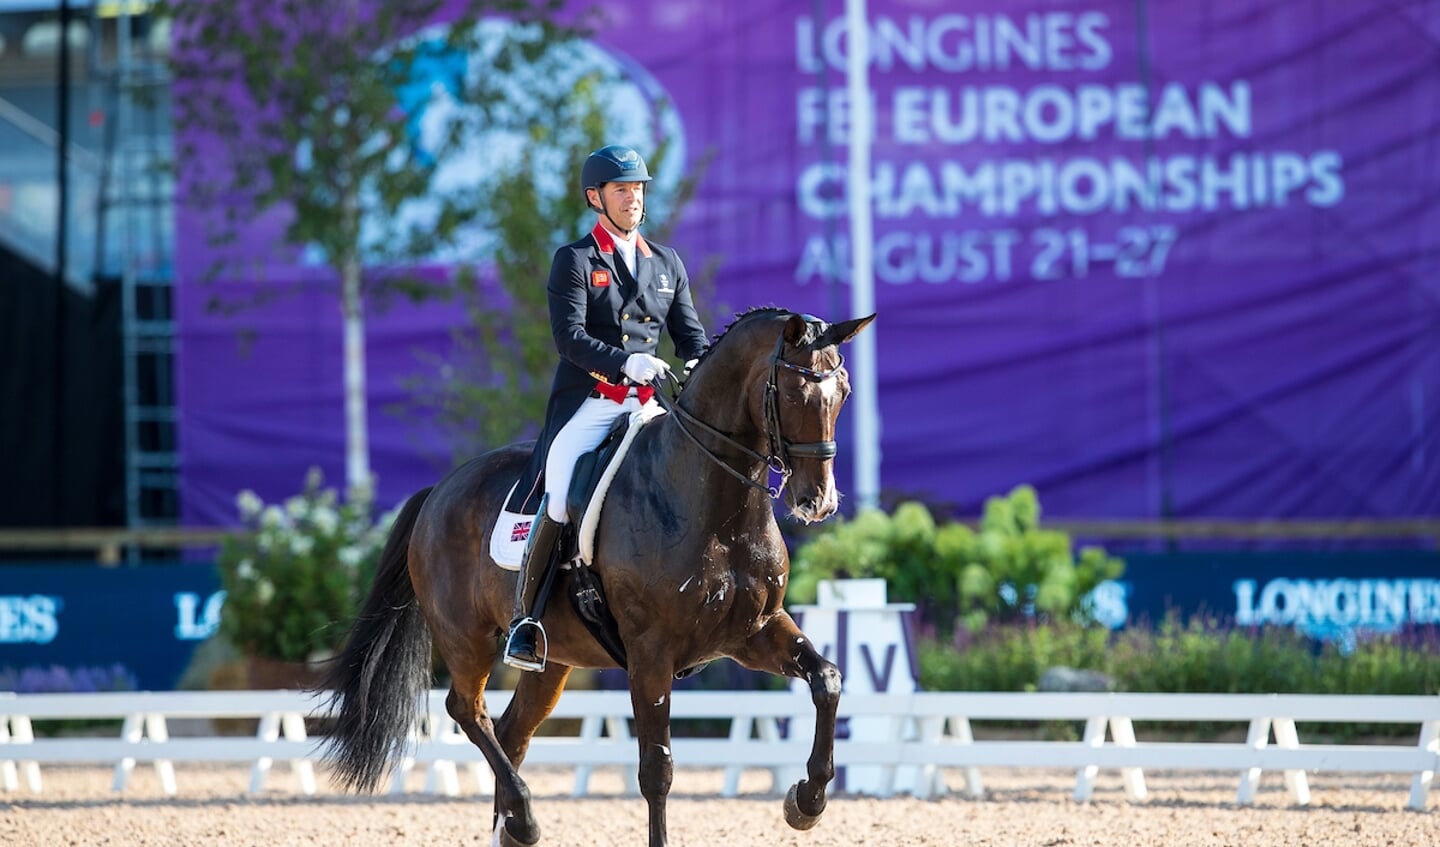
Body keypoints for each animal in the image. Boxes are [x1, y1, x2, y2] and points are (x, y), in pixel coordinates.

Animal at [319, 308, 869, 841]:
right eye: (794, 392)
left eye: (842, 393)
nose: (817, 502)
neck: (717, 508)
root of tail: (439, 490)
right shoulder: (650, 654)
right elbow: (657, 771)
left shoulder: (754, 632)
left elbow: (827, 679)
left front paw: (806, 802)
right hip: (465, 636)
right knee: (467, 711)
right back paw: (524, 815)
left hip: (553, 659)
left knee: (512, 732)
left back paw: (514, 822)